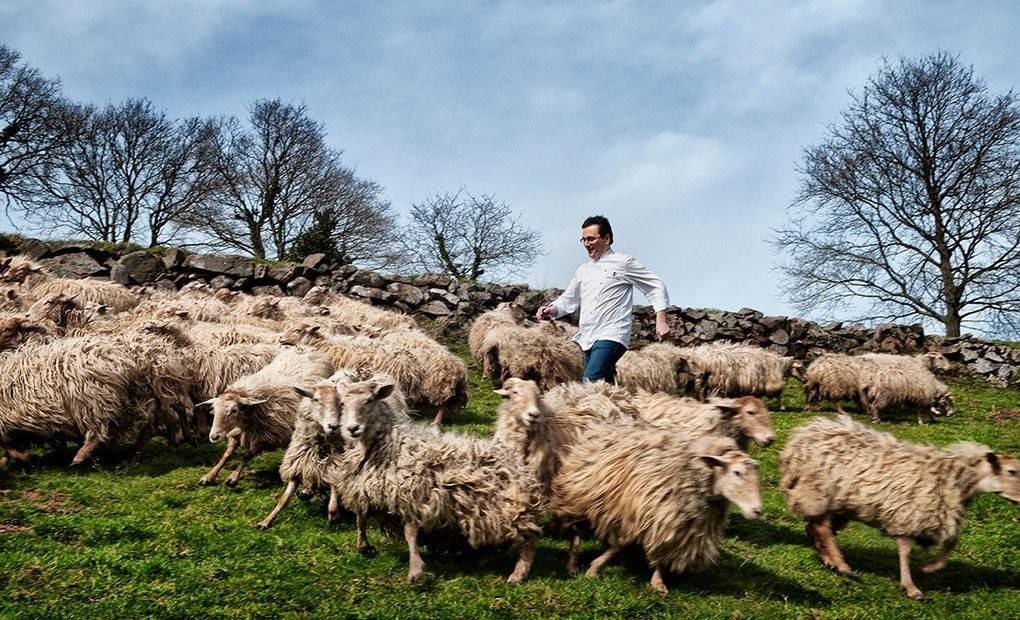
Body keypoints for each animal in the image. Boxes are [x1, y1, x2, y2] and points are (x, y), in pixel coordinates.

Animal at [200, 350, 336, 487]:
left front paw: (233, 477)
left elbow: (246, 456)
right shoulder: (238, 433)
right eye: (214, 410)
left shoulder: (267, 438)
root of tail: (311, 349)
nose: (213, 436)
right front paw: (209, 476)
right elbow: (226, 456)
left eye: (234, 411)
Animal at [332, 375, 542, 583]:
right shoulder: (367, 488)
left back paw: (519, 573)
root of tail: (520, 467)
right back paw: (488, 558)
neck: (391, 442)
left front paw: (415, 569)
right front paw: (363, 546)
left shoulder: (413, 495)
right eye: (342, 403)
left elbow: (410, 532)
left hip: (510, 507)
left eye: (369, 400)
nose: (352, 428)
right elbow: (361, 517)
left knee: (528, 539)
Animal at [554, 424, 762, 591]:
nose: (757, 510)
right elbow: (621, 543)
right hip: (582, 496)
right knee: (576, 531)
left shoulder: (674, 523)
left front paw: (658, 583)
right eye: (737, 472)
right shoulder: (641, 512)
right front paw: (594, 568)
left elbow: (663, 549)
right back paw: (572, 563)